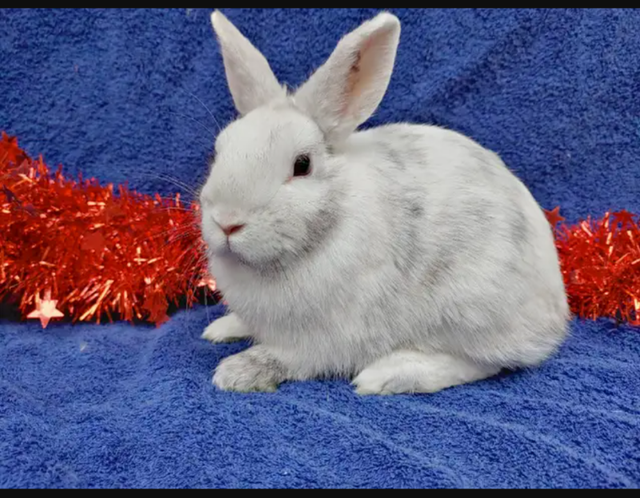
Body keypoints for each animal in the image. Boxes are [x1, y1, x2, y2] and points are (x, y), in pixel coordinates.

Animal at [198, 10, 570, 395]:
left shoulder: (324, 339)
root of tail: (556, 313)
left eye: (302, 165)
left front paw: (237, 371)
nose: (227, 221)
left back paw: (388, 374)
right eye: (218, 152)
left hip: (471, 309)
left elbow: (288, 358)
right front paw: (223, 327)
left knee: (482, 363)